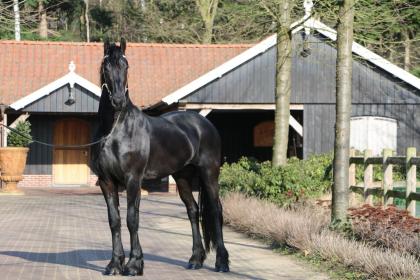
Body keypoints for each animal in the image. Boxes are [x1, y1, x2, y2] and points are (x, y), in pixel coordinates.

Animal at [91, 38, 230, 276]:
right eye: (106, 67)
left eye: (126, 66)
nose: (118, 100)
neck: (115, 129)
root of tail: (204, 123)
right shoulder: (106, 182)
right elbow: (114, 221)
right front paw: (115, 264)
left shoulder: (133, 180)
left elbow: (132, 219)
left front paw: (134, 264)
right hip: (182, 177)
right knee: (193, 211)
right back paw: (195, 259)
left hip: (209, 174)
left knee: (215, 211)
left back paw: (222, 262)